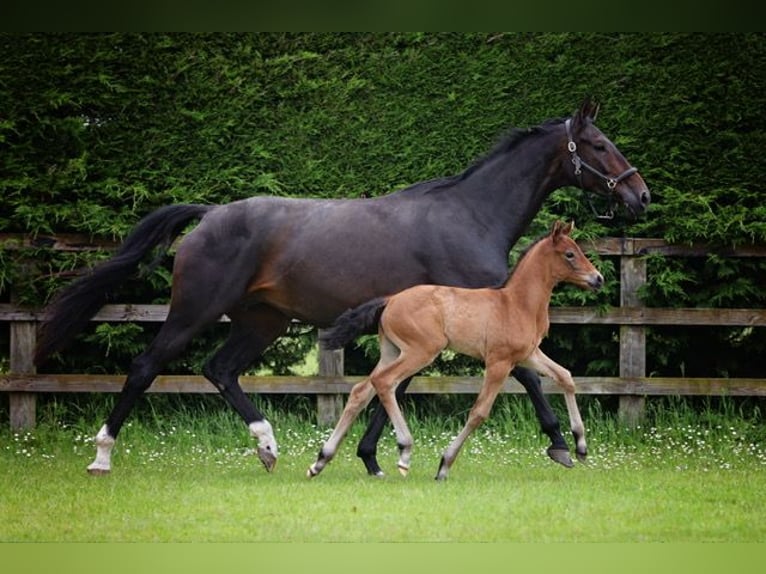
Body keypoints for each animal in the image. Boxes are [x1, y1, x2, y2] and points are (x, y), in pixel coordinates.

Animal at [308, 220, 604, 482]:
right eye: (569, 254)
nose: (598, 279)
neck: (516, 304)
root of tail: (390, 300)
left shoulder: (529, 354)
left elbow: (566, 377)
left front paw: (580, 447)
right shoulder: (499, 362)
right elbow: (479, 412)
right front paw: (444, 465)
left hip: (392, 351)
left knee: (361, 390)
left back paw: (321, 460)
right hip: (421, 351)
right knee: (384, 382)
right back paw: (404, 451)